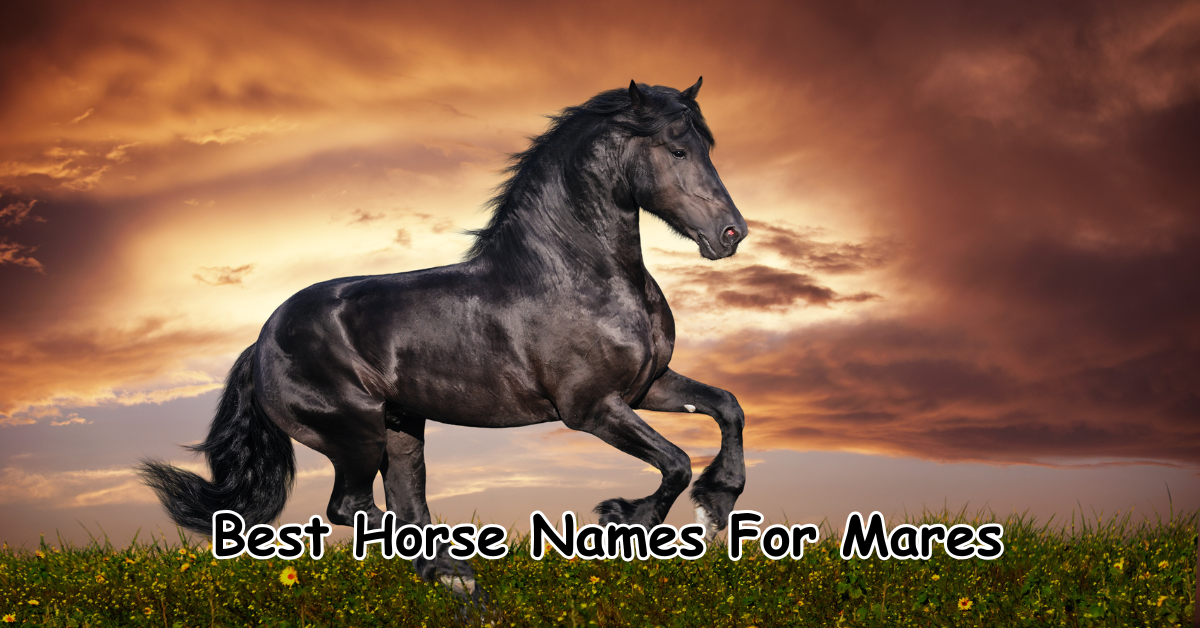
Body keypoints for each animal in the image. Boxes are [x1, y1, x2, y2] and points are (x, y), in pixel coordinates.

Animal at [139, 78, 748, 602]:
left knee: (403, 507)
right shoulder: (591, 408)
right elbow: (675, 461)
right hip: (354, 433)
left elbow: (727, 407)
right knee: (352, 508)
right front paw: (623, 517)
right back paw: (458, 572)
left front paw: (718, 503)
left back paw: (450, 578)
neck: (576, 274)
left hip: (402, 431)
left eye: (707, 146)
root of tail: (261, 343)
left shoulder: (647, 387)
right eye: (677, 150)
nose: (731, 234)